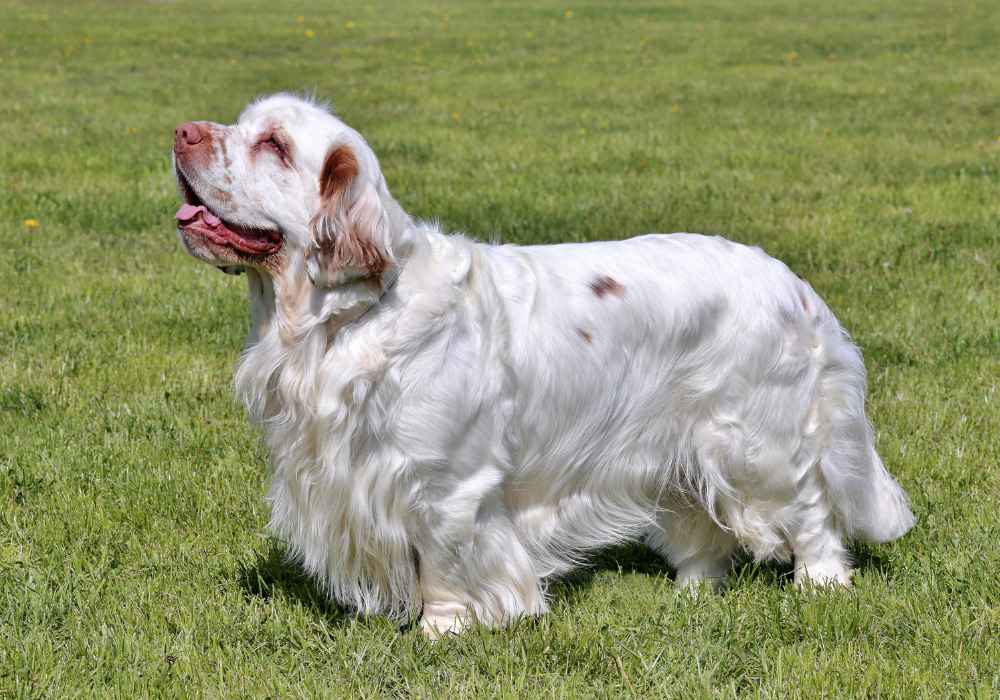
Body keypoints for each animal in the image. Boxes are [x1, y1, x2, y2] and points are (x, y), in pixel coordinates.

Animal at [170, 95, 916, 636]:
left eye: (273, 145)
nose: (181, 132)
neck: (345, 318)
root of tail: (794, 284)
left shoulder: (446, 484)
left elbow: (442, 563)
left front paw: (441, 633)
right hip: (678, 443)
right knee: (702, 522)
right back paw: (691, 592)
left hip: (756, 441)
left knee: (811, 507)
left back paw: (822, 582)